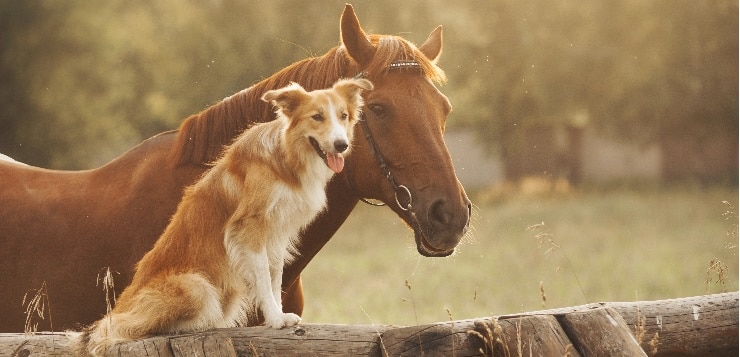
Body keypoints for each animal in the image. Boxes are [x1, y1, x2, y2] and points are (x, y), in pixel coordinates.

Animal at [72, 77, 372, 354]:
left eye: (343, 116)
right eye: (317, 117)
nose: (342, 145)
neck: (286, 157)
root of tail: (120, 306)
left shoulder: (277, 233)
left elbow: (275, 276)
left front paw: (278, 315)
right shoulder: (249, 228)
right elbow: (263, 277)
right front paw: (275, 319)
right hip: (197, 287)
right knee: (121, 328)